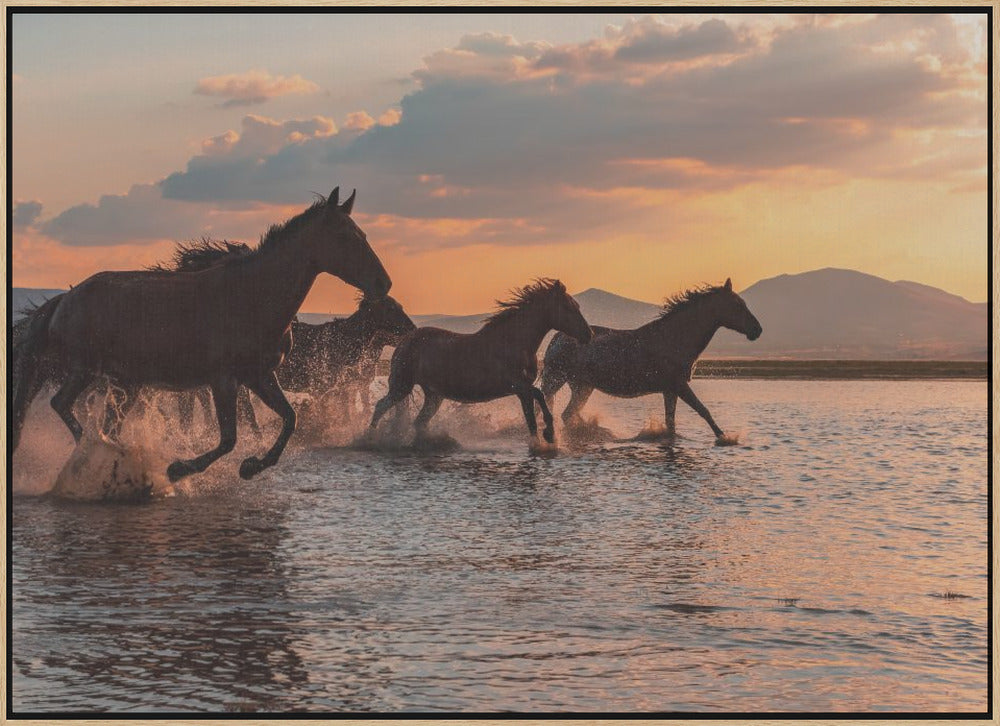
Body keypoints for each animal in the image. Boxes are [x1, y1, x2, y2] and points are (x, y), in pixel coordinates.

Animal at [12, 187, 391, 481]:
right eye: (345, 237)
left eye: (363, 235)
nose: (383, 283)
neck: (252, 297)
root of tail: (64, 299)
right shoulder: (223, 380)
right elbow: (228, 439)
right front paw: (179, 468)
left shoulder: (259, 376)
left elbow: (289, 419)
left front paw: (252, 466)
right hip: (86, 370)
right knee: (62, 404)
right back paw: (100, 454)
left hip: (124, 383)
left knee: (106, 424)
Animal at [369, 278, 593, 445]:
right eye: (569, 307)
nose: (588, 334)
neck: (514, 342)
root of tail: (405, 340)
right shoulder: (517, 386)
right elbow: (538, 398)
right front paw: (548, 434)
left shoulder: (523, 391)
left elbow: (533, 415)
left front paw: (545, 438)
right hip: (401, 386)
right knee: (380, 406)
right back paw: (369, 438)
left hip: (434, 396)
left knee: (419, 422)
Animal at [539, 278, 762, 442]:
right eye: (737, 305)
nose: (757, 330)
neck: (675, 339)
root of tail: (557, 337)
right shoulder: (679, 385)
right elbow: (703, 411)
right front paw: (725, 438)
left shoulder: (670, 390)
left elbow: (671, 423)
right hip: (557, 379)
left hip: (582, 386)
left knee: (567, 414)